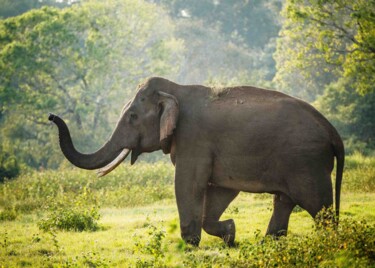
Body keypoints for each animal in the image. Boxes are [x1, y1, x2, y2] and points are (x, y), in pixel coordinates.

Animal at [48, 76, 346, 246]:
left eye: (132, 117)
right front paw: (230, 234)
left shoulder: (194, 139)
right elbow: (220, 191)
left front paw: (191, 244)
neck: (176, 91)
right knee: (284, 201)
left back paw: (328, 243)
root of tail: (333, 132)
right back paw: (269, 244)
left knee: (319, 207)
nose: (51, 116)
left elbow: (188, 184)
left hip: (307, 163)